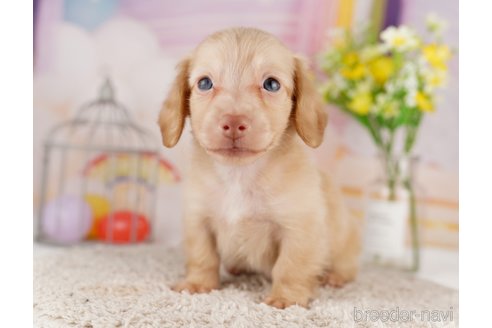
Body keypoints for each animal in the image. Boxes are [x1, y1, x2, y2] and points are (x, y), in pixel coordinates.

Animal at [160, 26, 360, 308]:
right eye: (204, 83)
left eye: (271, 84)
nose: (234, 123)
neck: (239, 175)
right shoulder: (198, 220)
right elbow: (202, 257)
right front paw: (198, 284)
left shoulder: (299, 228)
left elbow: (290, 267)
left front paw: (286, 298)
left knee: (346, 266)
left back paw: (334, 276)